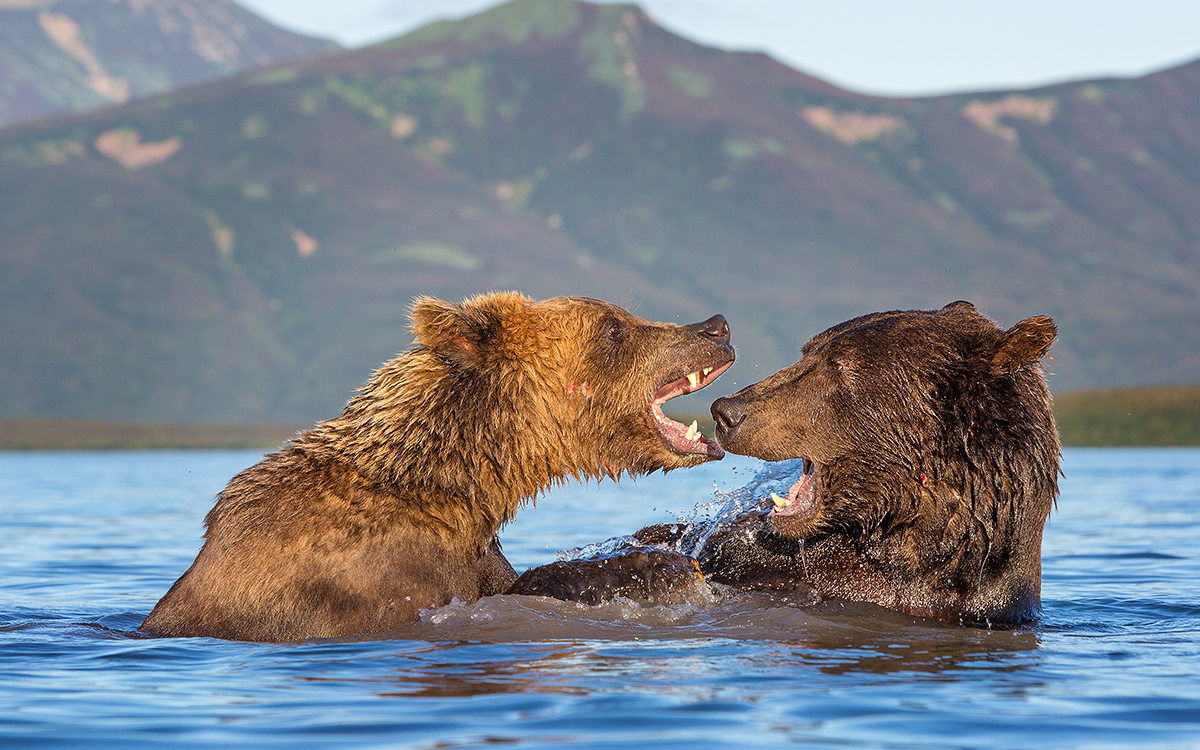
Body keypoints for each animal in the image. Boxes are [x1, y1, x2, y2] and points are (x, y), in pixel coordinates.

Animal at [145, 289, 734, 638]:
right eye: (615, 326)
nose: (716, 326)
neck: (458, 482)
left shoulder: (475, 554)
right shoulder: (372, 577)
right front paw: (649, 565)